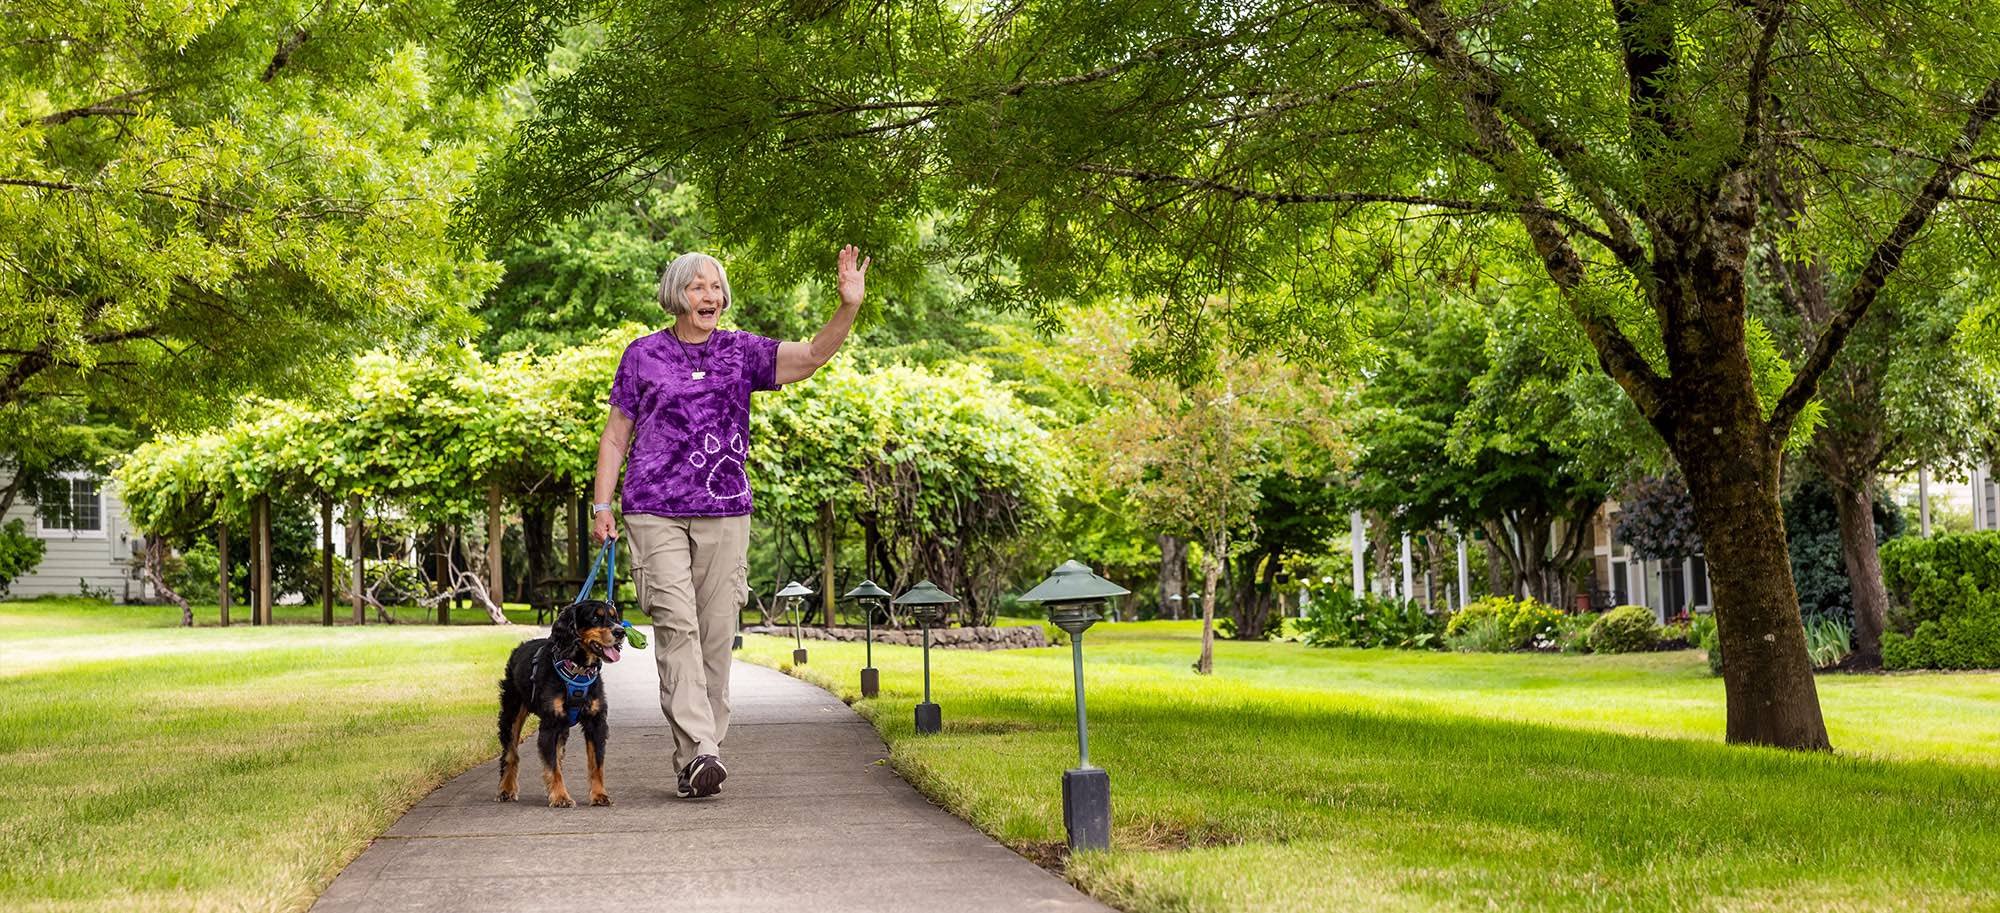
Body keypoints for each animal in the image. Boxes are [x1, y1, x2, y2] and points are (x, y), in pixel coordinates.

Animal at [498, 604, 624, 804]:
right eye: (595, 618)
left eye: (614, 617)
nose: (621, 632)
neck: (577, 670)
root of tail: (519, 648)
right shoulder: (551, 723)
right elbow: (552, 766)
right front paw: (560, 797)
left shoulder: (596, 723)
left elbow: (596, 764)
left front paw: (599, 795)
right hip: (512, 712)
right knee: (511, 754)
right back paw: (506, 789)